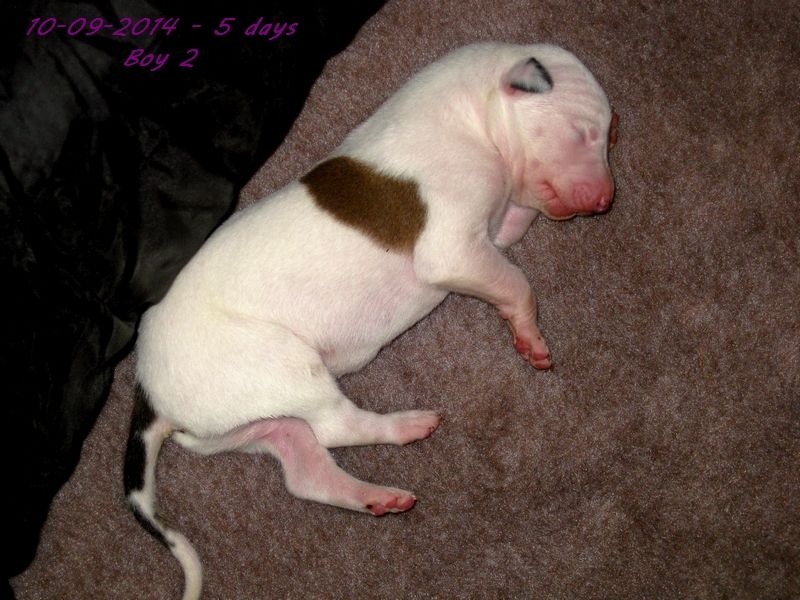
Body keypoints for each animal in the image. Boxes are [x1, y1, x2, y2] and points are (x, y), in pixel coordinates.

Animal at [124, 42, 617, 599]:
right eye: (582, 131)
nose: (605, 200)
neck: (470, 117)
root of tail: (148, 390)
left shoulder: (494, 235)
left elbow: (518, 227)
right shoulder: (454, 252)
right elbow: (517, 282)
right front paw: (530, 336)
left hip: (253, 419)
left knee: (305, 467)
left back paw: (374, 496)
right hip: (283, 364)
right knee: (337, 426)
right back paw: (407, 426)